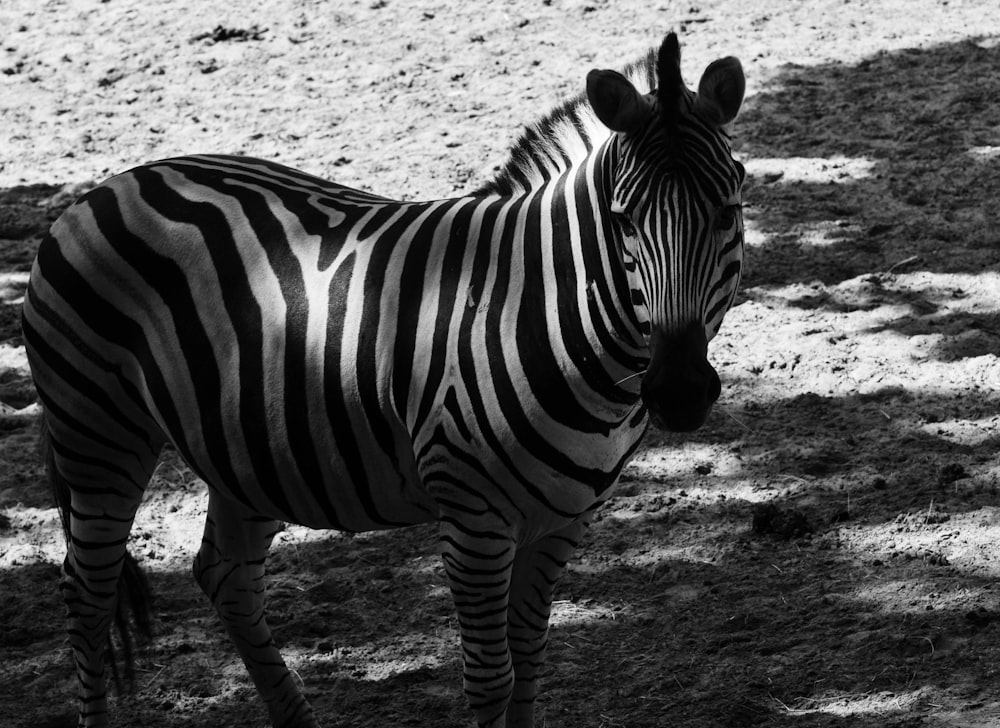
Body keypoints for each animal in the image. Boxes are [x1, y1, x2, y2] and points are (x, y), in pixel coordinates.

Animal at [21, 31, 744, 728]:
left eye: (729, 212)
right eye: (623, 221)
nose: (679, 391)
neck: (544, 309)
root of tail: (107, 188)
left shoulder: (563, 519)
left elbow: (531, 659)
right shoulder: (472, 516)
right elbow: (493, 678)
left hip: (243, 446)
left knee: (225, 574)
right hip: (98, 432)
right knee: (87, 594)